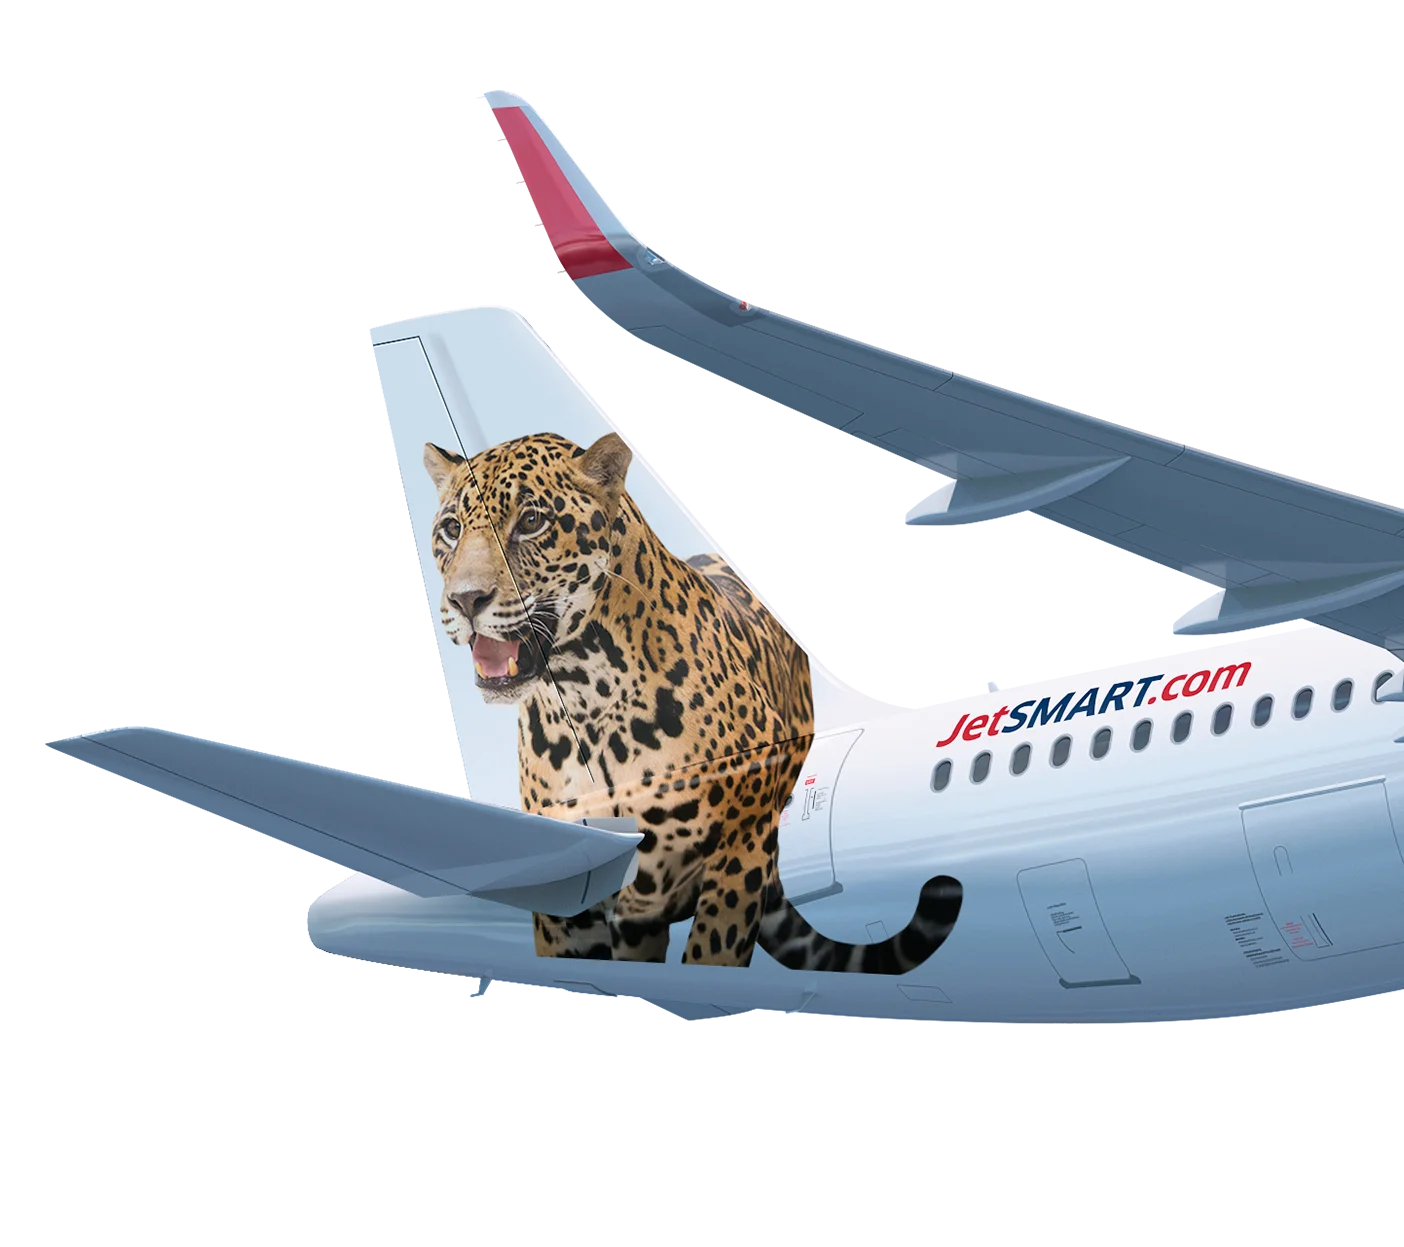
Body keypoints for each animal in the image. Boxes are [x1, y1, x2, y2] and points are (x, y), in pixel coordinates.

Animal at [423, 430, 961, 970]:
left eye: (532, 522)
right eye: (451, 529)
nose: (465, 600)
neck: (585, 698)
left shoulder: (742, 848)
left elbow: (714, 949)